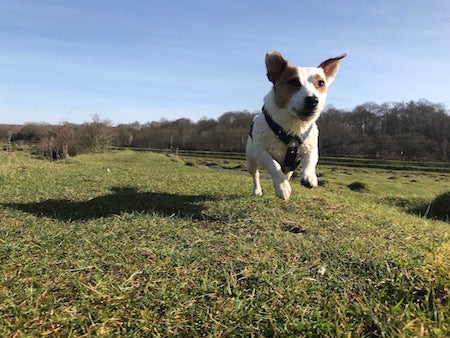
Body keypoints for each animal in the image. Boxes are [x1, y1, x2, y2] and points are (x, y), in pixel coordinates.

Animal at [246, 49, 344, 198]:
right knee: (255, 174)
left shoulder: (311, 148)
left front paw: (309, 177)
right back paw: (257, 190)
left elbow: (310, 161)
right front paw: (282, 188)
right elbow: (273, 165)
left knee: (286, 173)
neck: (294, 126)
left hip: (289, 166)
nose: (312, 100)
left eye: (321, 83)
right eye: (293, 81)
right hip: (251, 158)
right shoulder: (262, 151)